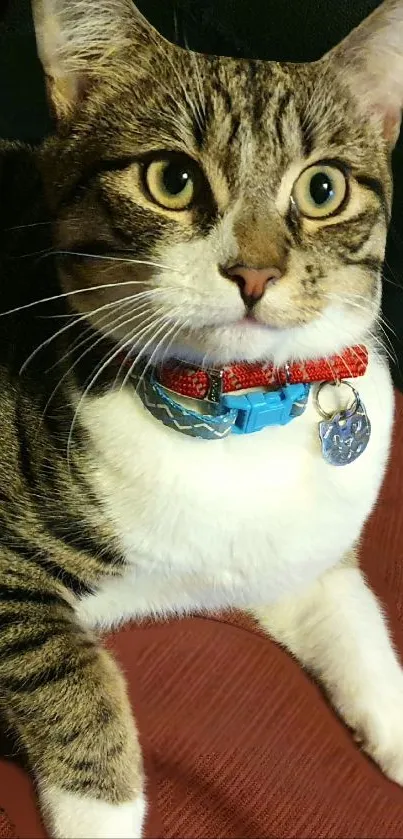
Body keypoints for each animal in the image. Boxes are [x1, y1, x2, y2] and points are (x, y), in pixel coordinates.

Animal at [0, 0, 403, 836]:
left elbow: (353, 619)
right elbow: (70, 675)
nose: (253, 271)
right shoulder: (11, 575)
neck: (231, 407)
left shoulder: (301, 554)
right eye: (172, 179)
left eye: (322, 189)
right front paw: (103, 817)